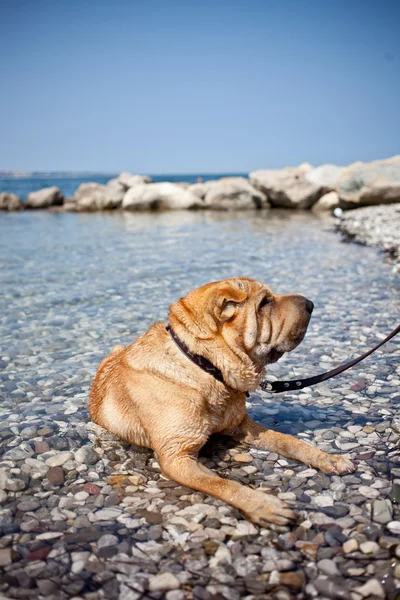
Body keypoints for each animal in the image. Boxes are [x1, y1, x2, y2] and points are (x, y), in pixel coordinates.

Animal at [89, 278, 354, 524]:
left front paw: (327, 458)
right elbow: (222, 484)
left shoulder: (242, 426)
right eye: (264, 303)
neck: (204, 366)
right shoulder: (176, 455)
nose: (310, 304)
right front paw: (265, 505)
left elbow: (287, 441)